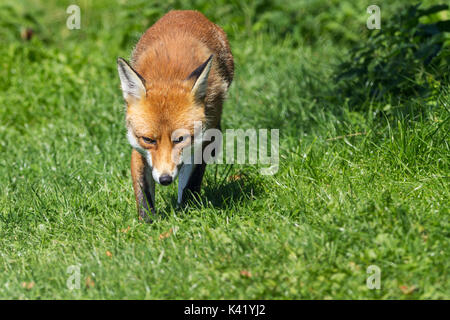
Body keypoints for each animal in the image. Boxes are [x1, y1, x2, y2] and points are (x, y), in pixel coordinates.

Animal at [116, 9, 236, 220]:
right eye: (149, 139)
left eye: (180, 139)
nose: (165, 179)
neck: (168, 76)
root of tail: (184, 12)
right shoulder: (137, 146)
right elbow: (143, 193)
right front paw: (147, 223)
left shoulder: (202, 141)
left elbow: (189, 184)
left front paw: (185, 214)